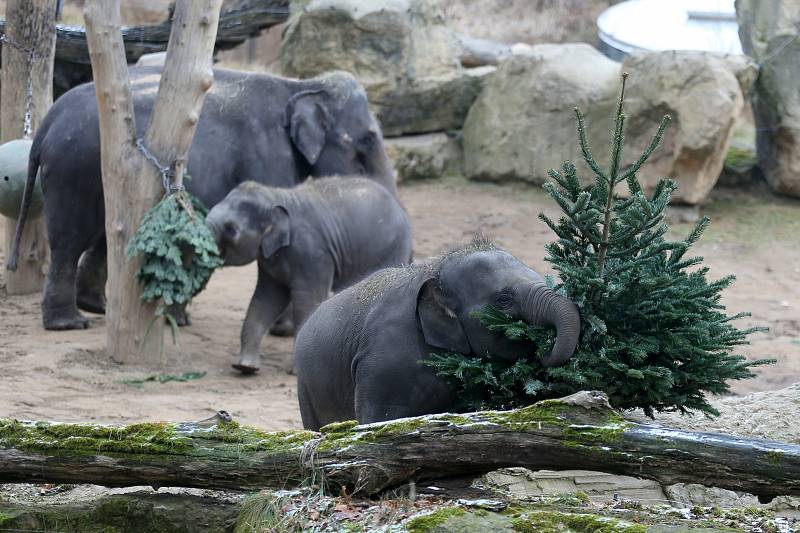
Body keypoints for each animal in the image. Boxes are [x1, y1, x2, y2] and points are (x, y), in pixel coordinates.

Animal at [6, 65, 394, 332]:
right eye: (366, 141)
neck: (299, 85)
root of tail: (47, 122)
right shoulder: (271, 156)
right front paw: (282, 331)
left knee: (109, 232)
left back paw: (98, 307)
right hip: (73, 172)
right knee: (69, 240)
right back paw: (69, 323)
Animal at [206, 177, 412, 372]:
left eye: (231, 229)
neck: (276, 195)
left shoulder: (313, 255)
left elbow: (306, 301)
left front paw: (297, 371)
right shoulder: (269, 260)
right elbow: (265, 300)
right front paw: (246, 367)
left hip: (391, 250)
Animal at [294, 239, 580, 430]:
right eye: (504, 300)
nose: (543, 348)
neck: (435, 269)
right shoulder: (383, 361)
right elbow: (378, 419)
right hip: (306, 387)